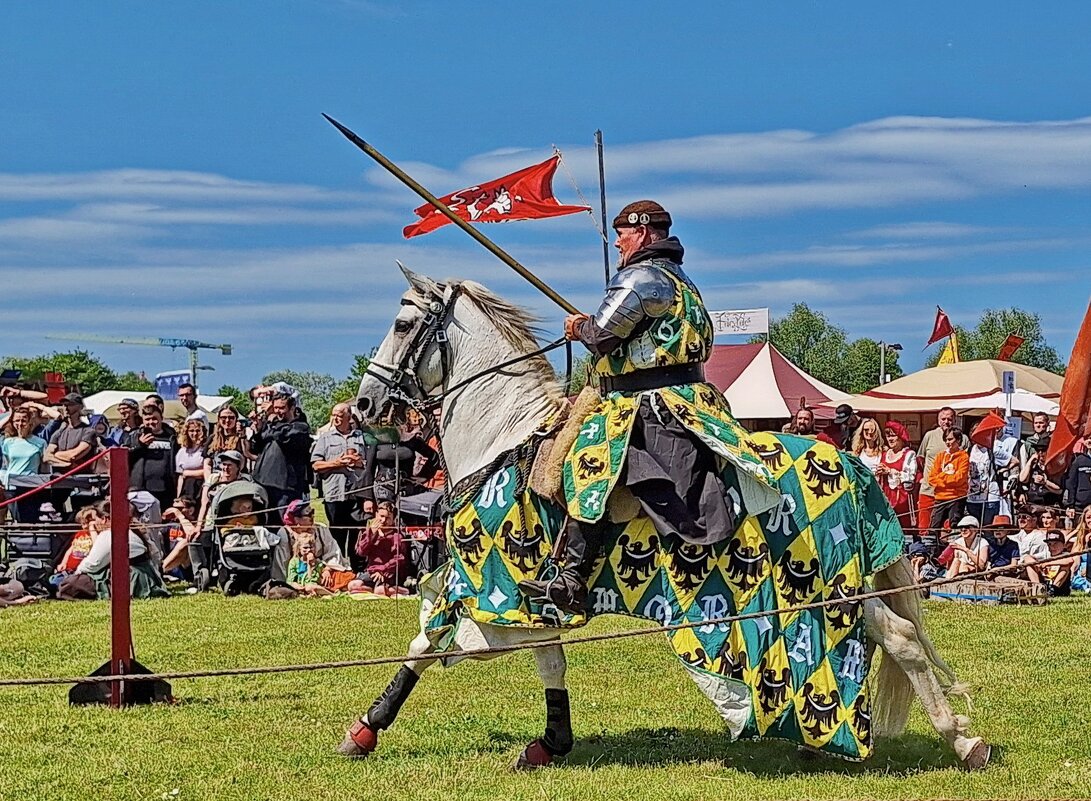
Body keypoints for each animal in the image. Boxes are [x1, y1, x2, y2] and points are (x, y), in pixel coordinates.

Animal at [338, 268, 990, 772]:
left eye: (403, 325)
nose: (365, 404)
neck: (503, 436)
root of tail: (850, 460)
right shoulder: (513, 592)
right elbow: (540, 657)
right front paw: (550, 743)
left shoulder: (487, 580)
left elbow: (426, 643)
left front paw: (365, 729)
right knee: (895, 636)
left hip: (822, 587)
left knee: (899, 639)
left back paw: (964, 741)